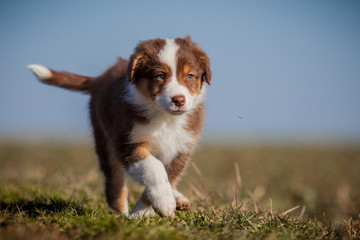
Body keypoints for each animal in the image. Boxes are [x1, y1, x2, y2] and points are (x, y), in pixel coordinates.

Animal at [28, 36, 211, 218]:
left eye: (189, 76)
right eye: (160, 75)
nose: (179, 100)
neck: (165, 118)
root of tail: (100, 78)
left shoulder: (181, 149)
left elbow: (167, 176)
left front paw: (142, 212)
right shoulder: (126, 142)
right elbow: (153, 167)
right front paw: (161, 204)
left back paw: (178, 199)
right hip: (105, 142)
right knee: (115, 185)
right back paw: (120, 216)